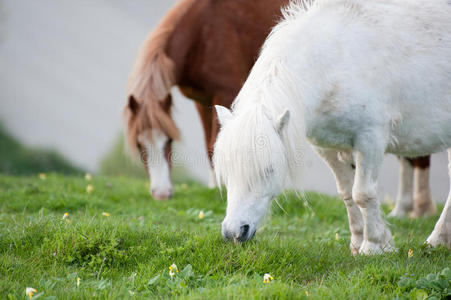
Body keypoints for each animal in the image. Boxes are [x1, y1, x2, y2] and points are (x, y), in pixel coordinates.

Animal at [214, 0, 451, 255]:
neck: (333, 61)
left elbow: (363, 193)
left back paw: (436, 239)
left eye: (269, 170)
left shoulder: (370, 139)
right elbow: (347, 194)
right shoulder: (328, 148)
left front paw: (374, 245)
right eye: (227, 169)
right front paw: (359, 242)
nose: (234, 232)